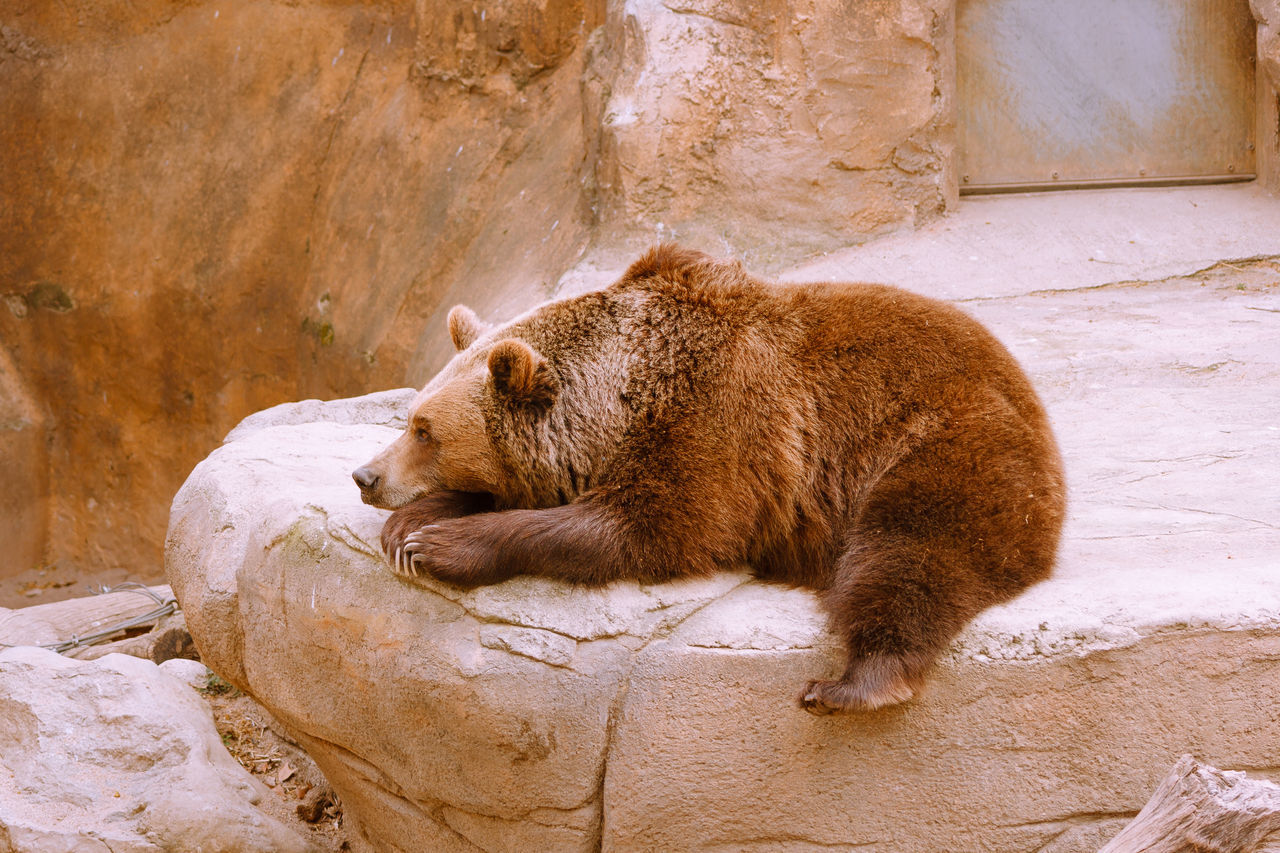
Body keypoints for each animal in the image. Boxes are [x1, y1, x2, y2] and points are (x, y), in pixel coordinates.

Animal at [355, 244, 1064, 712]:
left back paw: (853, 684)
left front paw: (441, 546)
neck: (626, 392)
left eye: (424, 430)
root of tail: (1026, 388)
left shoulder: (726, 425)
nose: (366, 475)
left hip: (941, 446)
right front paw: (409, 527)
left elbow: (653, 527)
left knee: (910, 553)